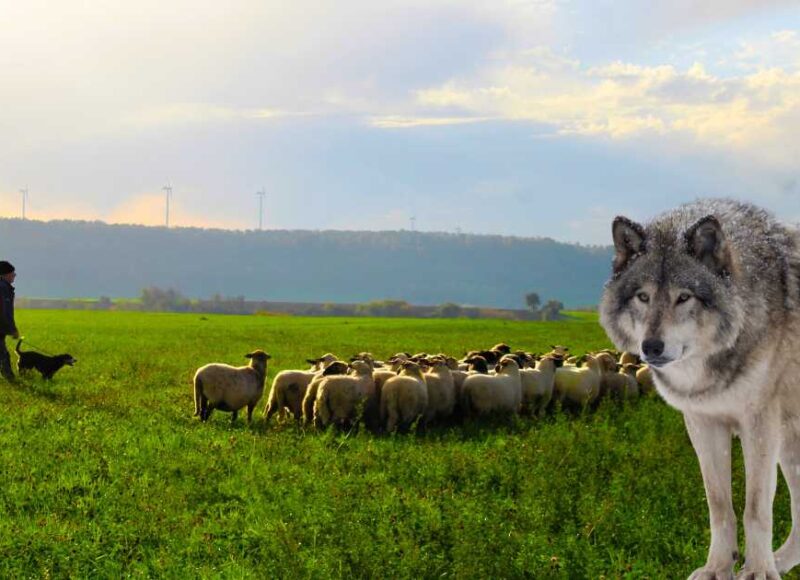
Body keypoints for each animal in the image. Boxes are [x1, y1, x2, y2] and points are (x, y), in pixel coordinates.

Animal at [599, 199, 800, 579]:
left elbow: (756, 509)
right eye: (643, 296)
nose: (652, 347)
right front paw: (719, 568)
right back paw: (783, 561)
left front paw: (758, 571)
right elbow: (719, 506)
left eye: (684, 297)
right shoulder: (703, 424)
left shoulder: (759, 425)